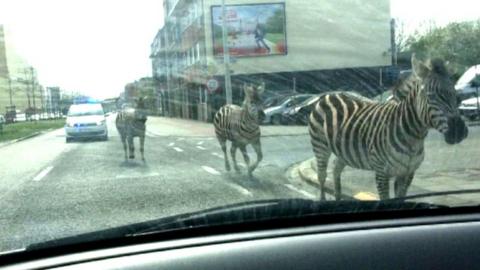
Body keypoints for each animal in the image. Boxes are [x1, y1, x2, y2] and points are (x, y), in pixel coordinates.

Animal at [308, 54, 468, 200]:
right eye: (431, 96)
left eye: (456, 96)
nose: (459, 131)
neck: (413, 138)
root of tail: (330, 94)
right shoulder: (381, 173)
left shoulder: (407, 173)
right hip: (320, 146)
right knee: (321, 176)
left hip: (343, 152)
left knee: (336, 170)